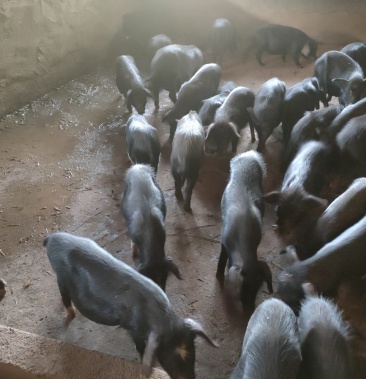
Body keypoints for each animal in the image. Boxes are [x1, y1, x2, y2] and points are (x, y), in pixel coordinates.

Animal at [216, 151, 274, 308]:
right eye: (244, 287)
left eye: (258, 287)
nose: (250, 308)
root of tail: (250, 154)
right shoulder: (224, 238)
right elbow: (222, 258)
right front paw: (218, 276)